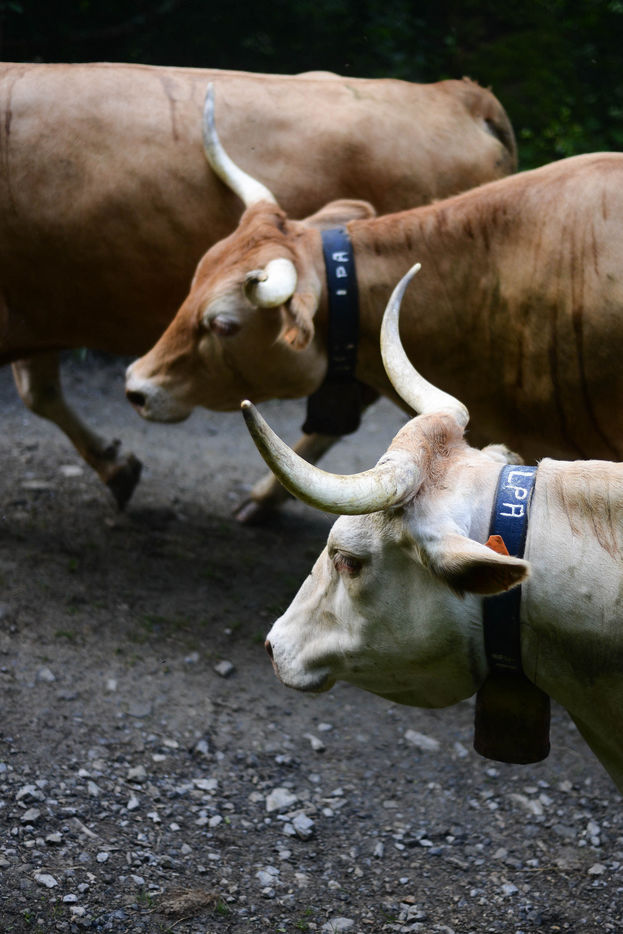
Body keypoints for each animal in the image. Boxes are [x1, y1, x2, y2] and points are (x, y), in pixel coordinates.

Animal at [0, 62, 516, 507]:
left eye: (224, 324)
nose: (135, 388)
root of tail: (463, 94)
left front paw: (117, 467)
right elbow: (40, 391)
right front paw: (116, 465)